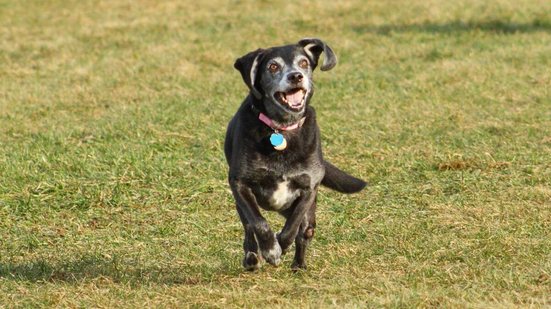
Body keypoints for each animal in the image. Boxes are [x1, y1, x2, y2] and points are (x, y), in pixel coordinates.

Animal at [224, 38, 366, 270]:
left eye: (303, 63)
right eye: (273, 66)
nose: (296, 76)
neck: (281, 129)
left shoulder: (309, 188)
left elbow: (292, 227)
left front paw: (280, 246)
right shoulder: (240, 184)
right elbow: (258, 222)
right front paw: (270, 249)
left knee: (305, 231)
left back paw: (298, 265)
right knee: (249, 227)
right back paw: (252, 257)